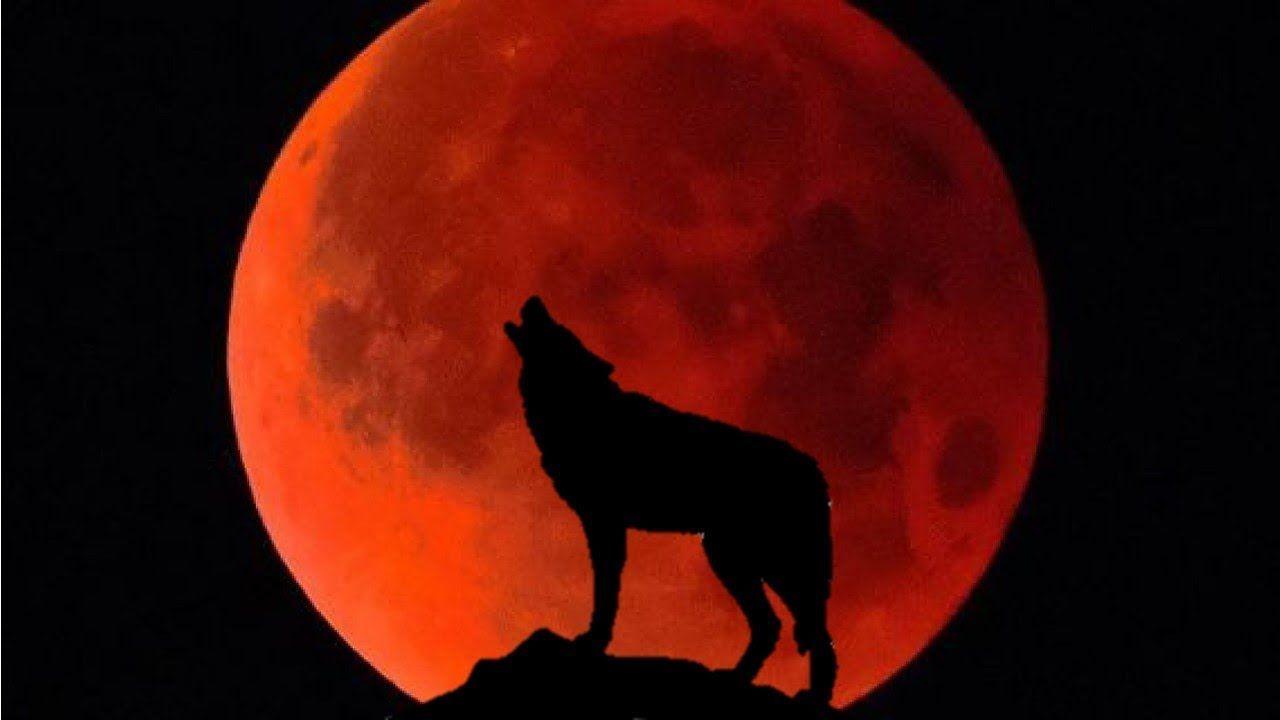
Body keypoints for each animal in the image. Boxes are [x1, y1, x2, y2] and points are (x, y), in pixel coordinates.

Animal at [504, 296, 837, 703]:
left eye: (557, 329)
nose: (535, 300)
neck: (584, 410)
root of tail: (815, 468)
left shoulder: (605, 521)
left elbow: (606, 593)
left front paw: (594, 642)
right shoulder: (601, 524)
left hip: (768, 563)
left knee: (813, 631)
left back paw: (814, 697)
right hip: (735, 559)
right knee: (774, 625)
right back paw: (737, 677)